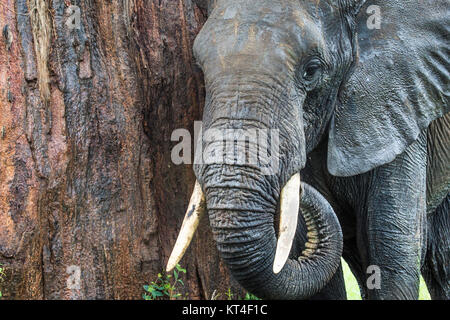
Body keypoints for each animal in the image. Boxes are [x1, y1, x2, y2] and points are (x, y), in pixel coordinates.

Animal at [167, 0, 448, 300]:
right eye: (200, 69)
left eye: (311, 70)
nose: (301, 189)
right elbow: (306, 249)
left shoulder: (398, 98)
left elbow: (389, 245)